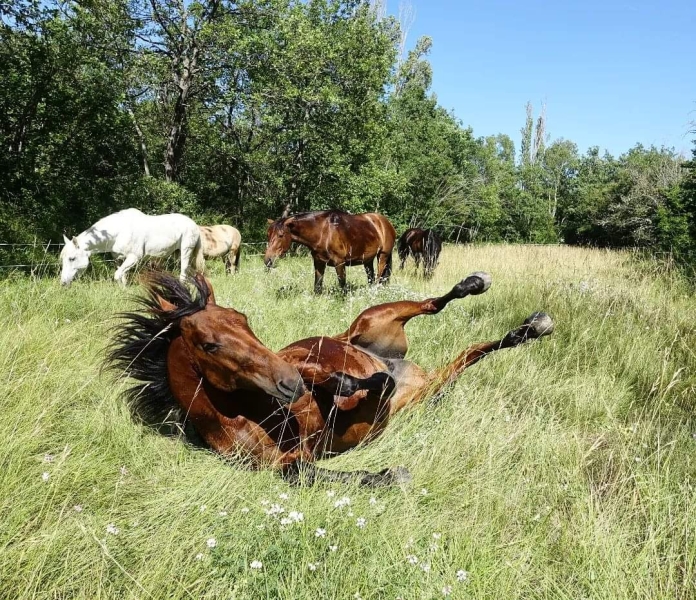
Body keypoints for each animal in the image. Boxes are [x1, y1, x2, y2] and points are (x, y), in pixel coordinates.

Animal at [59, 207, 204, 288]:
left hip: (186, 251)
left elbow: (117, 275)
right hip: (177, 253)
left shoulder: (134, 258)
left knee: (183, 271)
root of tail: (194, 224)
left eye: (72, 258)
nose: (63, 283)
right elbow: (122, 276)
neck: (119, 231)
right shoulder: (119, 259)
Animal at [107, 270, 556, 486]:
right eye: (209, 345)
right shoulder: (283, 464)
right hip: (429, 387)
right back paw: (527, 330)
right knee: (470, 354)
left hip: (373, 319)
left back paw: (480, 287)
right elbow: (306, 473)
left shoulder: (305, 363)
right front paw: (389, 476)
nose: (288, 383)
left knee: (434, 304)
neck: (255, 412)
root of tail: (407, 364)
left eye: (243, 319)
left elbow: (338, 381)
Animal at [262, 211, 394, 296]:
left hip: (383, 256)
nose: (268, 260)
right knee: (371, 278)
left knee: (379, 278)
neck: (323, 232)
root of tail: (384, 222)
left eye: (281, 235)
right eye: (268, 235)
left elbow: (342, 285)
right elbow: (317, 286)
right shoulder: (319, 262)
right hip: (367, 260)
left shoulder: (339, 263)